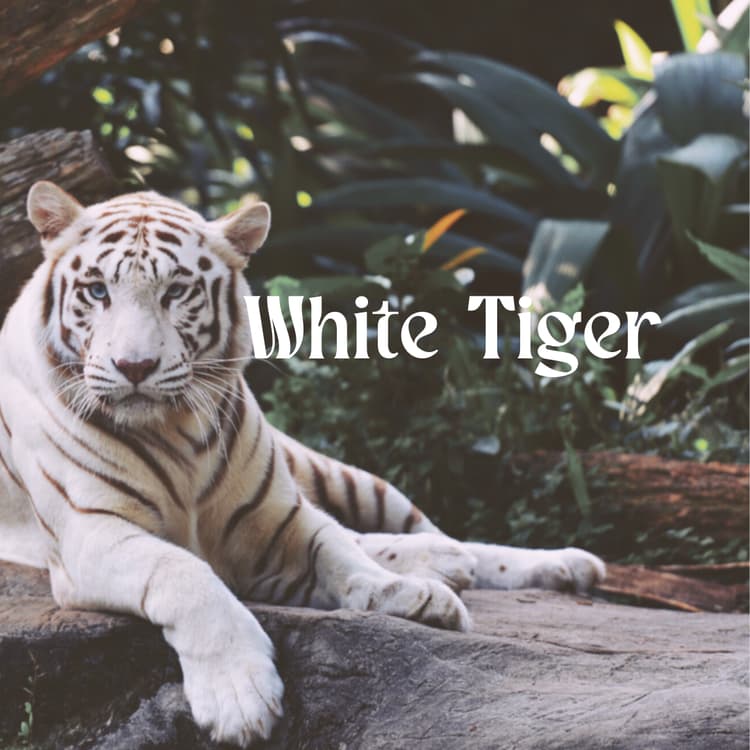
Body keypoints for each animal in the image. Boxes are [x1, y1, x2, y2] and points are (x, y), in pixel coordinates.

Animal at [0, 181, 605, 747]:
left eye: (175, 292)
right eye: (97, 291)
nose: (134, 366)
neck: (177, 432)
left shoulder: (279, 517)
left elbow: (337, 551)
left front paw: (402, 595)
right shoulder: (90, 535)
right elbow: (184, 572)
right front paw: (239, 699)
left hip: (345, 476)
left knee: (432, 536)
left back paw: (547, 565)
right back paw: (446, 566)